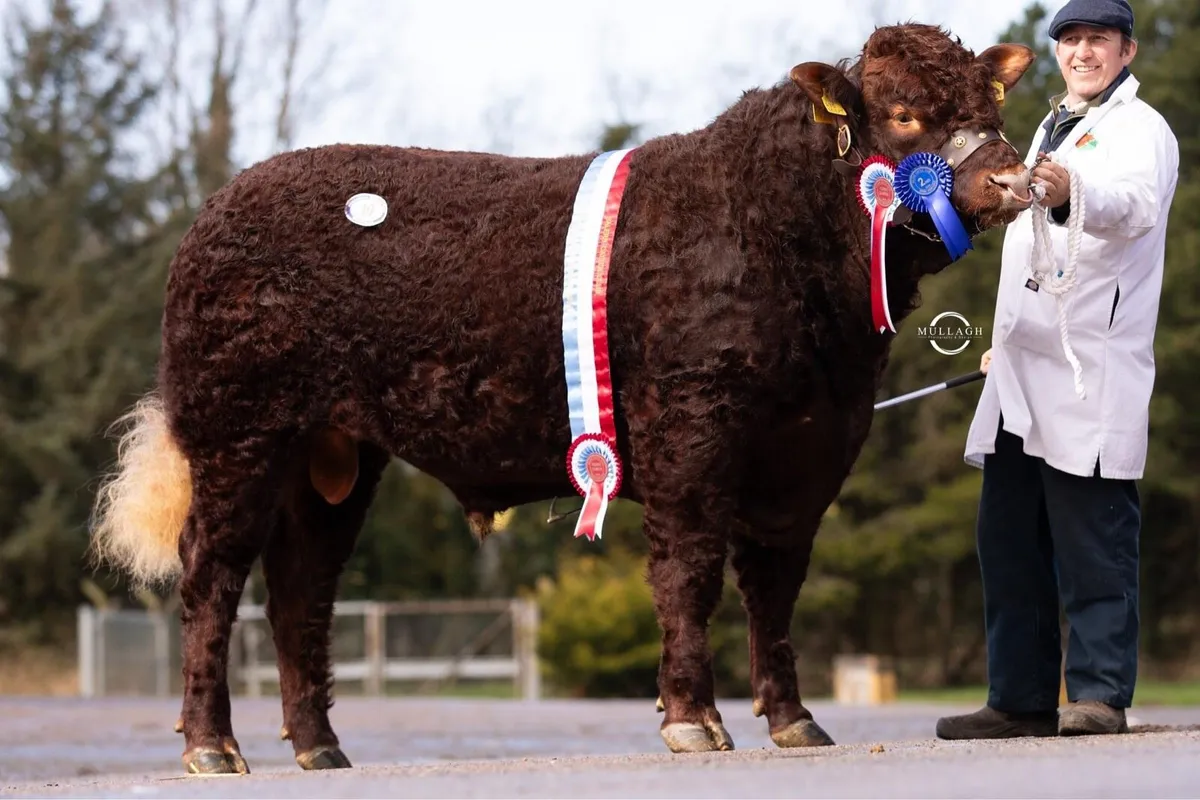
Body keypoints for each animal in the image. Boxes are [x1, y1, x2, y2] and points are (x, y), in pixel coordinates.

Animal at [90, 22, 1036, 774]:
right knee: (213, 573)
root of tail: (216, 210)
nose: (1012, 180)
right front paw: (694, 720)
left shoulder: (810, 451)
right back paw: (213, 745)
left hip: (334, 457)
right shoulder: (692, 428)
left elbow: (773, 586)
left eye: (988, 103)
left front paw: (795, 720)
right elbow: (689, 571)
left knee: (300, 584)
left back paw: (320, 745)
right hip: (237, 432)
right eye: (905, 114)